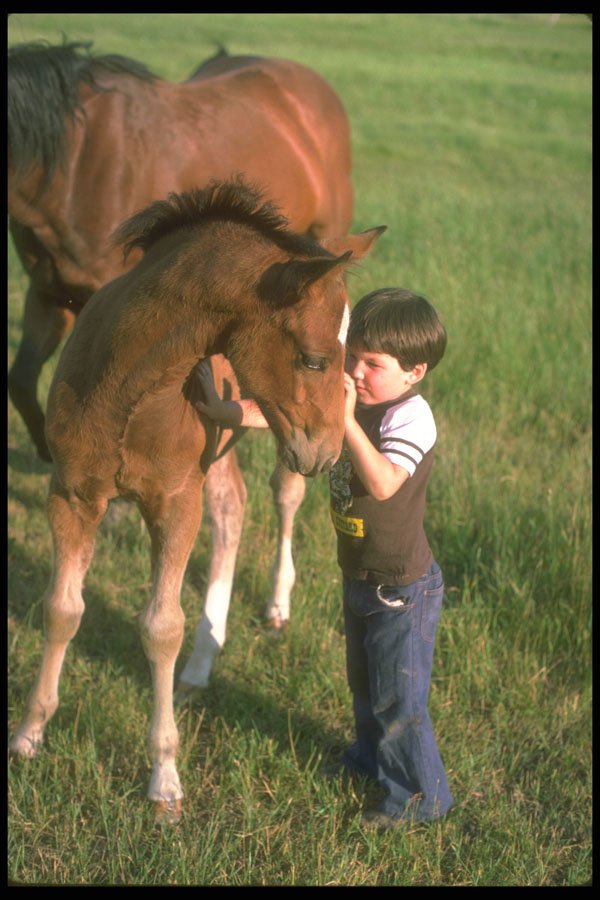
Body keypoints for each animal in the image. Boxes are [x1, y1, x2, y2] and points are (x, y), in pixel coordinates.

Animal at [8, 178, 384, 821]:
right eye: (313, 357)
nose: (329, 451)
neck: (127, 390)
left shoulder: (175, 501)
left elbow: (161, 626)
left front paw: (164, 781)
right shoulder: (72, 494)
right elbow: (62, 609)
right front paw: (30, 733)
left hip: (267, 446)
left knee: (279, 497)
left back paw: (272, 608)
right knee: (232, 508)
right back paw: (204, 663)